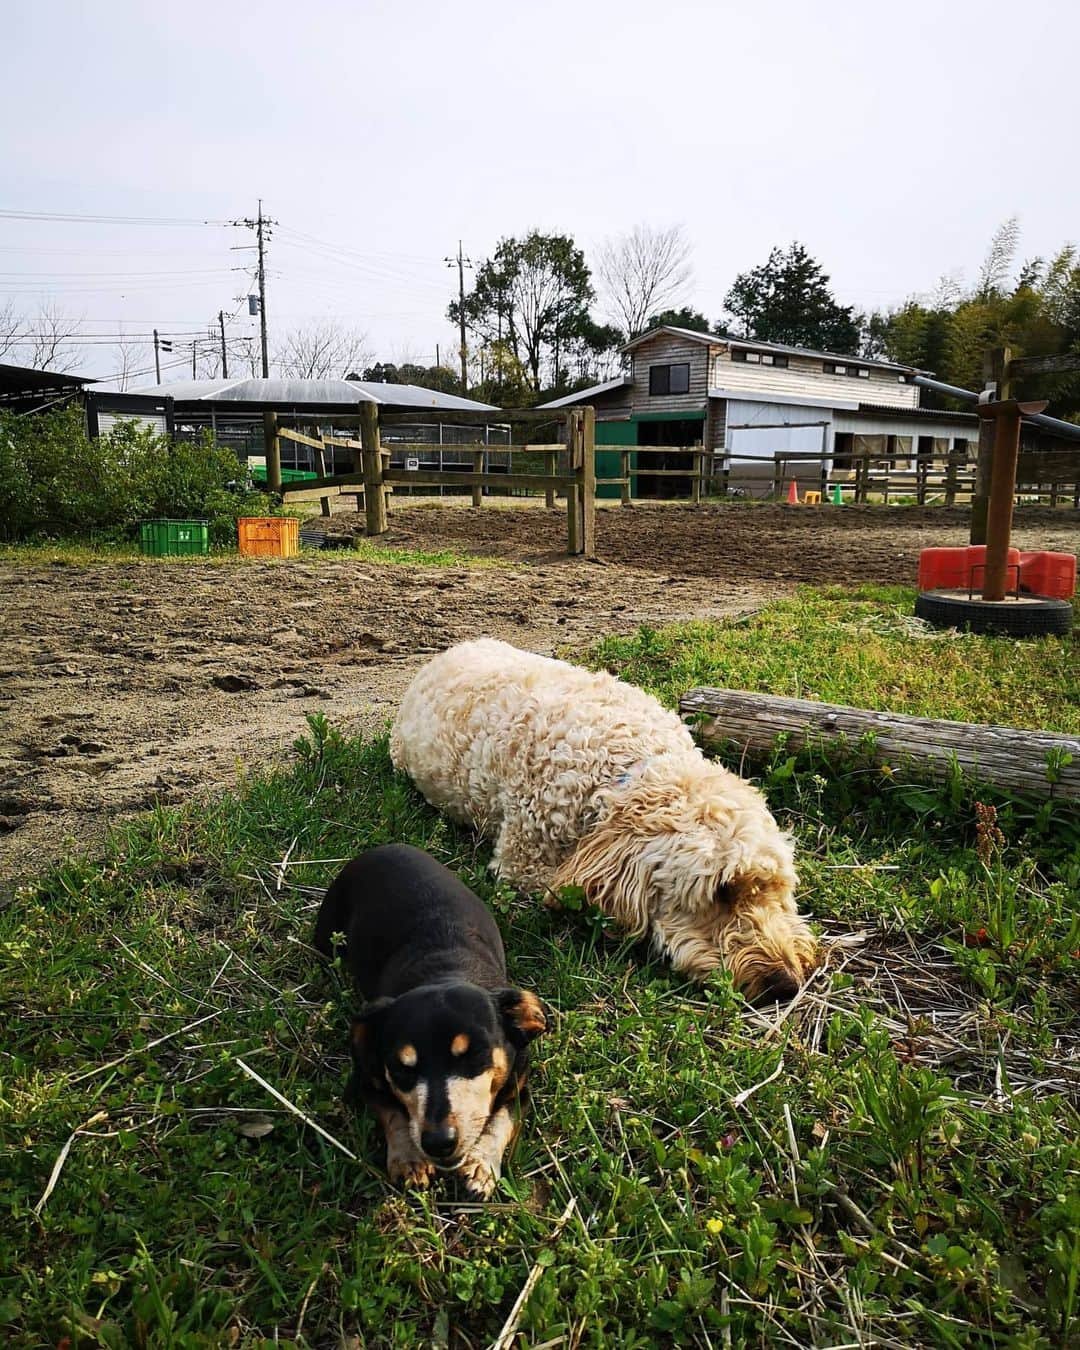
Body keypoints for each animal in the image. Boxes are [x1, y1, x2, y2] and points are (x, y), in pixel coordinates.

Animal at [314, 842, 548, 1204]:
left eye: (474, 1055)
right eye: (401, 1068)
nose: (439, 1143)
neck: (445, 971)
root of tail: (386, 847)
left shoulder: (521, 1086)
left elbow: (502, 1121)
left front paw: (481, 1166)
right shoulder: (366, 1078)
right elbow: (394, 1113)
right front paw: (409, 1159)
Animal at [391, 639, 815, 1004]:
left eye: (778, 888)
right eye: (722, 892)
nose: (786, 984)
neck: (628, 762)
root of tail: (450, 650)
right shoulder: (524, 864)